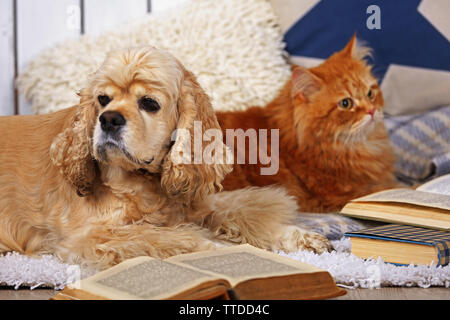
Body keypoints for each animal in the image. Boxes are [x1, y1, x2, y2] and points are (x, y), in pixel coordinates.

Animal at [0, 46, 330, 268]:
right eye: (102, 99)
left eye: (149, 103)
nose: (108, 119)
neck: (147, 182)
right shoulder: (91, 236)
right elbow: (179, 239)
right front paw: (227, 249)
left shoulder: (193, 205)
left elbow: (240, 213)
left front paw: (298, 236)